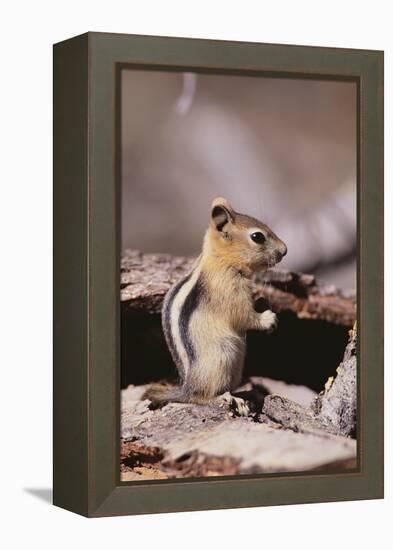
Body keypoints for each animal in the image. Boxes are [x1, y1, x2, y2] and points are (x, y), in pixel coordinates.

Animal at [145, 197, 286, 414]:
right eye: (257, 237)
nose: (285, 250)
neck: (221, 261)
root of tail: (187, 388)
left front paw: (263, 300)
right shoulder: (229, 293)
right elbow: (244, 316)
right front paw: (268, 319)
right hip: (222, 357)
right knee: (202, 397)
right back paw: (229, 399)